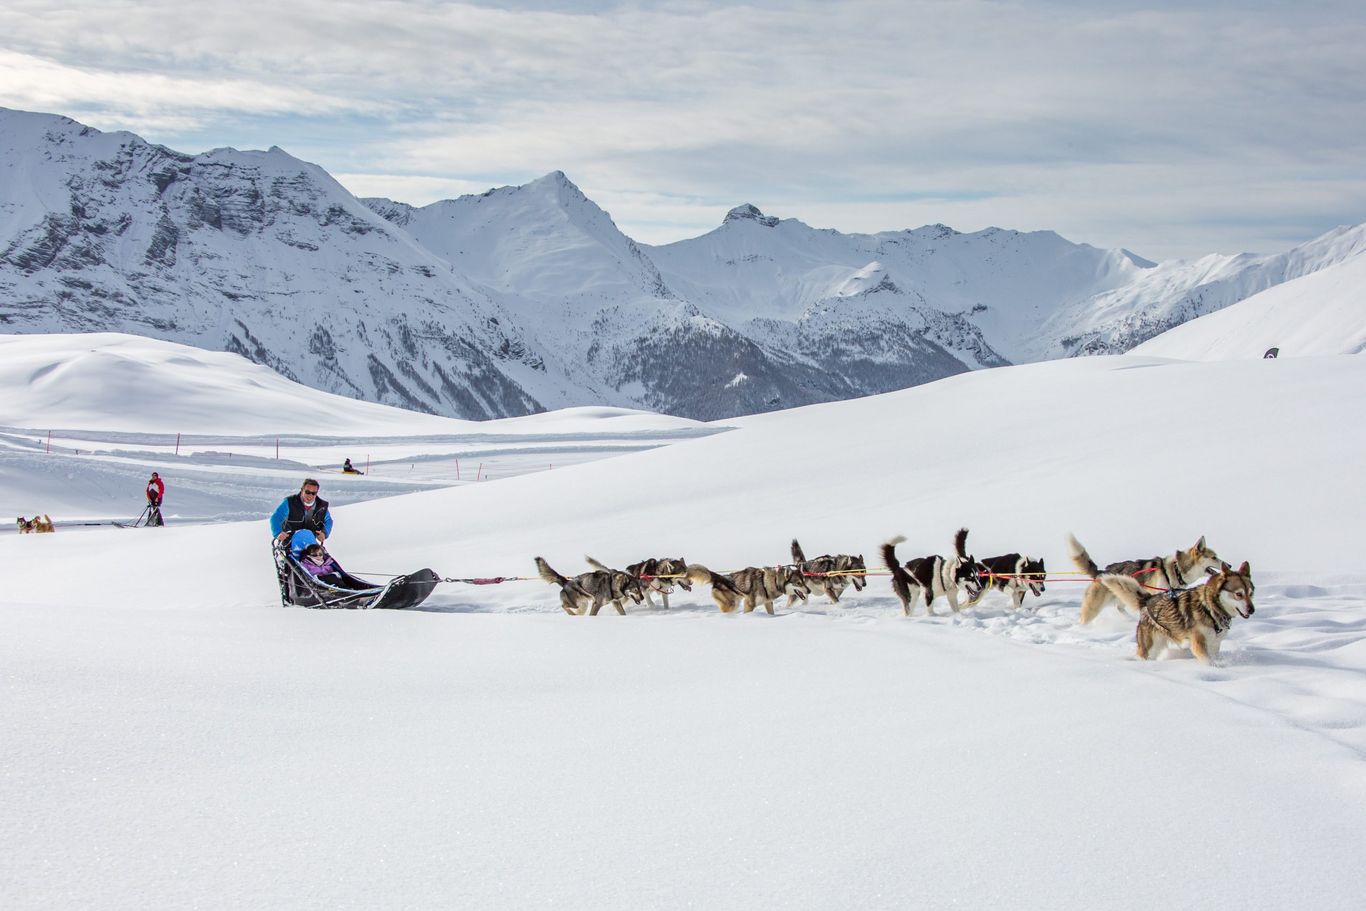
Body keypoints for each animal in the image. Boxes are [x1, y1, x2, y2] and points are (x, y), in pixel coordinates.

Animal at [1070, 535, 1223, 628]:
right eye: (1214, 557)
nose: (1228, 565)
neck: (1176, 569)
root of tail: (1101, 572)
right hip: (1093, 608)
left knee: (1121, 608)